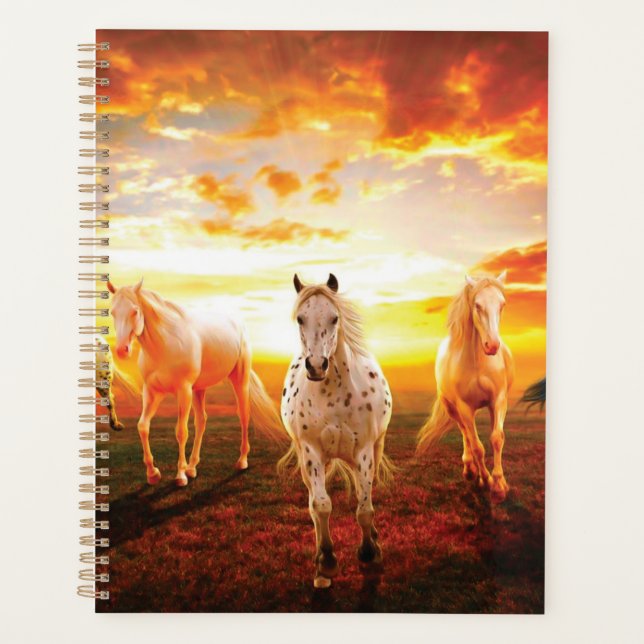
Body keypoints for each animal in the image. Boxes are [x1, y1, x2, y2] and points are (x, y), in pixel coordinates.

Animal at [107, 278, 284, 486]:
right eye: (113, 312)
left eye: (134, 311)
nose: (122, 350)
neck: (164, 345)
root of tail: (238, 323)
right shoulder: (152, 392)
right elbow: (143, 426)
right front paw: (153, 473)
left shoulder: (183, 390)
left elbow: (181, 431)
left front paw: (180, 476)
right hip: (199, 389)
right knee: (202, 420)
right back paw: (192, 467)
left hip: (239, 379)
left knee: (243, 415)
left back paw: (241, 461)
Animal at [279, 273, 393, 588]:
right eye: (300, 318)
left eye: (334, 318)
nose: (317, 366)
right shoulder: (311, 452)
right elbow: (321, 506)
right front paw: (327, 562)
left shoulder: (364, 450)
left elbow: (364, 508)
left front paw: (369, 553)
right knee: (313, 504)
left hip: (372, 451)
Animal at [417, 271, 514, 503]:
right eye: (477, 305)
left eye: (502, 304)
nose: (492, 346)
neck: (478, 362)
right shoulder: (465, 407)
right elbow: (477, 446)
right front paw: (486, 480)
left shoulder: (499, 400)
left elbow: (497, 438)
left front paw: (499, 485)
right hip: (453, 408)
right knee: (465, 434)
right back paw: (471, 471)